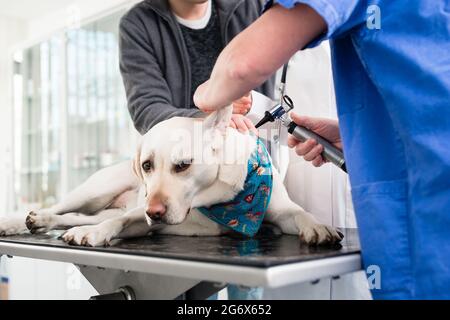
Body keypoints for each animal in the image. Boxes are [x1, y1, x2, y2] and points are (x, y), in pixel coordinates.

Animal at [0, 106, 342, 246]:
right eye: (147, 165)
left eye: (183, 165)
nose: (154, 211)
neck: (218, 199)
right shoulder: (142, 219)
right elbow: (120, 221)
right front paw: (95, 235)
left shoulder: (280, 213)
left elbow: (299, 213)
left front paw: (318, 226)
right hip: (95, 189)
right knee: (63, 208)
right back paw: (22, 221)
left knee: (74, 217)